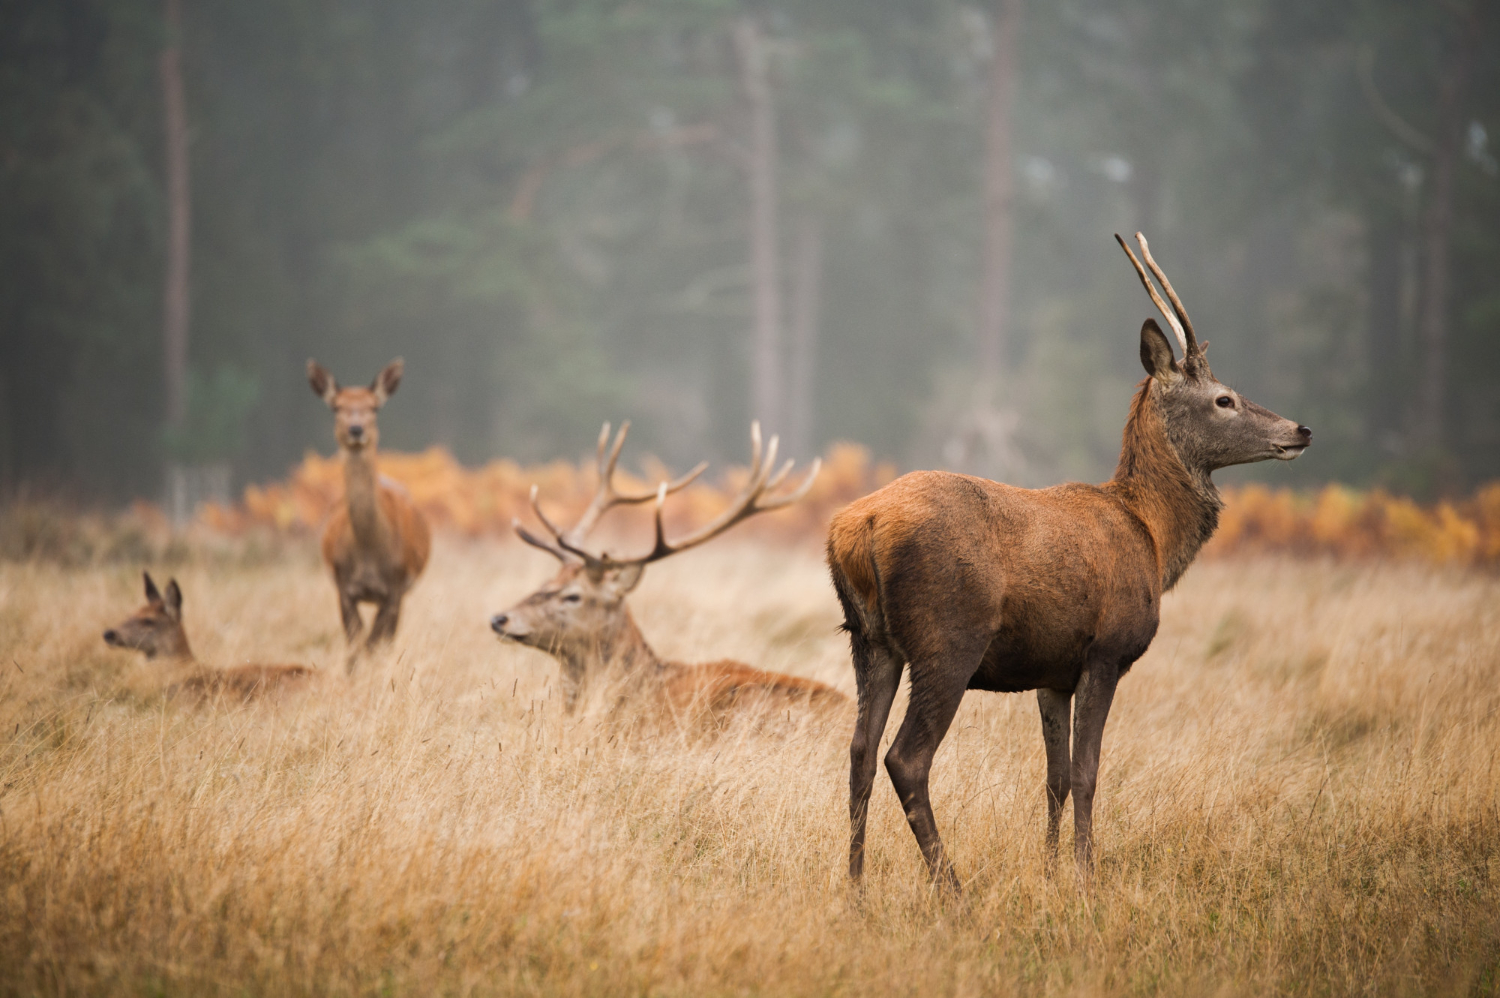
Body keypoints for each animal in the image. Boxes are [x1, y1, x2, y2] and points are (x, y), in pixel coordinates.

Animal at [307, 358, 431, 667]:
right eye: (336, 406)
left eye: (374, 407)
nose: (356, 429)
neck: (368, 555)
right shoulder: (343, 586)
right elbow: (355, 646)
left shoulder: (395, 587)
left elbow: (374, 644)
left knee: (387, 641)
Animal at [828, 233, 1313, 892]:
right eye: (1224, 398)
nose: (1301, 429)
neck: (1152, 536)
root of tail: (859, 529)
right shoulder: (1105, 651)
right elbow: (1087, 771)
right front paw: (1086, 875)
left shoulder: (1051, 671)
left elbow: (1053, 777)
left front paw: (1051, 869)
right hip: (947, 639)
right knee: (905, 757)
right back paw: (953, 888)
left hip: (869, 640)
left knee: (858, 752)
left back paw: (855, 888)